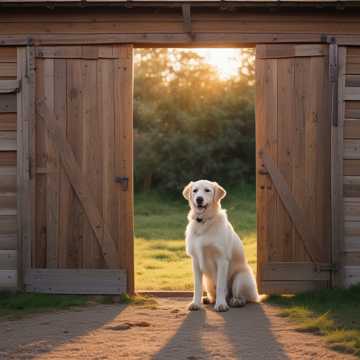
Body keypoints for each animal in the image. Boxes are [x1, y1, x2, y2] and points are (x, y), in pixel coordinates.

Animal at [183, 180, 258, 312]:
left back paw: (236, 301)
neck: (204, 222)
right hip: (208, 281)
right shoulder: (195, 260)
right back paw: (208, 299)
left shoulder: (222, 259)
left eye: (207, 190)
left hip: (241, 278)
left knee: (244, 297)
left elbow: (221, 286)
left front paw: (221, 304)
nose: (199, 199)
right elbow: (197, 286)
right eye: (195, 190)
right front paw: (195, 303)